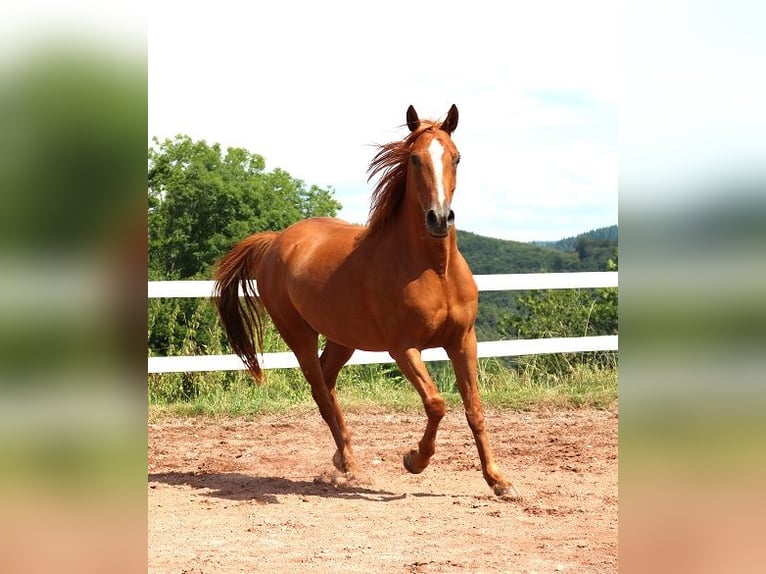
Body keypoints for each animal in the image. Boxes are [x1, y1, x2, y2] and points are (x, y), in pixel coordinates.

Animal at [213, 105, 518, 498]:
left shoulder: (463, 340)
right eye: (415, 159)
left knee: (327, 385)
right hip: (299, 336)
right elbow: (436, 403)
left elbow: (474, 410)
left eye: (457, 157)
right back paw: (350, 465)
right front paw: (414, 460)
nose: (439, 218)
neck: (435, 270)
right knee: (321, 392)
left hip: (343, 339)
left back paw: (342, 458)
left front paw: (499, 481)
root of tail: (276, 240)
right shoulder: (403, 348)